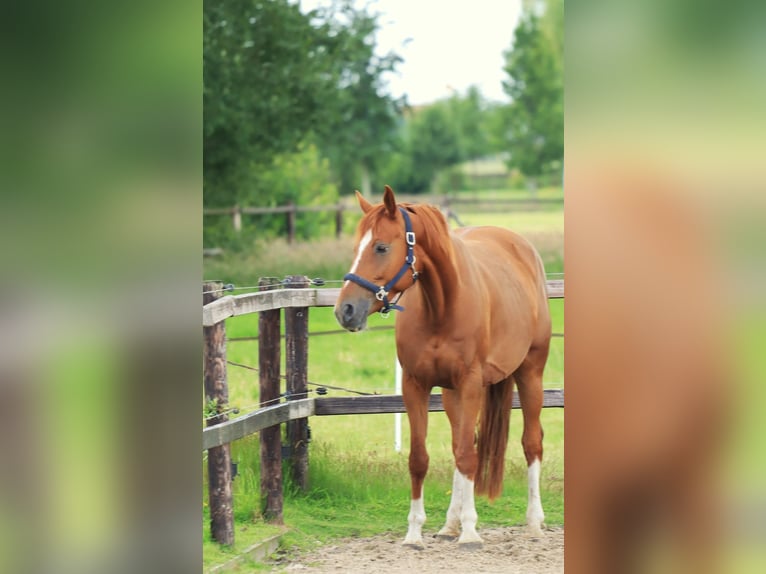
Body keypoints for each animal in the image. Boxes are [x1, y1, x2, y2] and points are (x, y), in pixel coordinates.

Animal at [336, 188, 552, 548]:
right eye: (355, 249)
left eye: (381, 247)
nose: (345, 310)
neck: (442, 306)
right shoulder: (415, 385)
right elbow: (420, 458)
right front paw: (414, 532)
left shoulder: (470, 383)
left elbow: (467, 456)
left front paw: (471, 532)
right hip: (452, 395)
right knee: (457, 446)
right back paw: (450, 524)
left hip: (530, 374)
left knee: (531, 442)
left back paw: (534, 522)